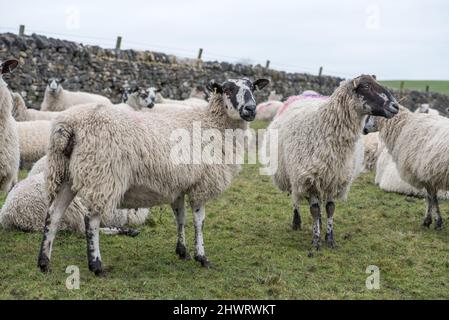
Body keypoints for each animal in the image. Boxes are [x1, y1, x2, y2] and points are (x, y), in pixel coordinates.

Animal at [36, 77, 268, 276]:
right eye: (227, 89)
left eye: (253, 87)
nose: (250, 109)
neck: (212, 123)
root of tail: (67, 125)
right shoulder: (201, 184)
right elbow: (199, 222)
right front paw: (201, 257)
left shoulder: (179, 185)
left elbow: (181, 218)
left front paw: (182, 251)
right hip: (103, 175)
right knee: (91, 219)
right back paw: (96, 265)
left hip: (66, 174)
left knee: (53, 214)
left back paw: (44, 262)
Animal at [264, 75, 398, 255]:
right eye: (366, 86)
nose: (396, 106)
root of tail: (301, 97)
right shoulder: (309, 178)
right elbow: (314, 210)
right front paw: (316, 241)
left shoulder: (335, 178)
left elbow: (330, 208)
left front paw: (329, 238)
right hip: (292, 174)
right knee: (296, 199)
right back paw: (297, 222)